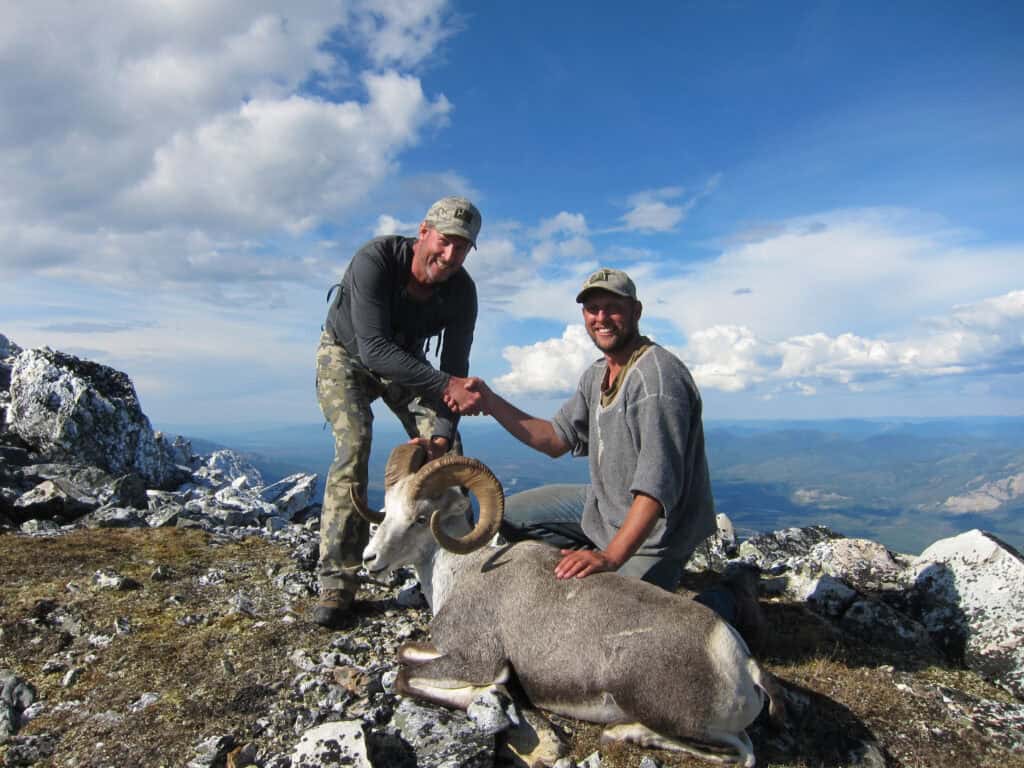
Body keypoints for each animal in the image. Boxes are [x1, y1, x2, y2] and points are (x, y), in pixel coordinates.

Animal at [358, 445, 784, 767]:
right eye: (387, 509)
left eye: (419, 519)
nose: (369, 559)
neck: (462, 573)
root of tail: (740, 664)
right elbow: (405, 653)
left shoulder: (476, 660)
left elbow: (405, 676)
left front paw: (499, 696)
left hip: (666, 712)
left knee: (740, 753)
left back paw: (625, 732)